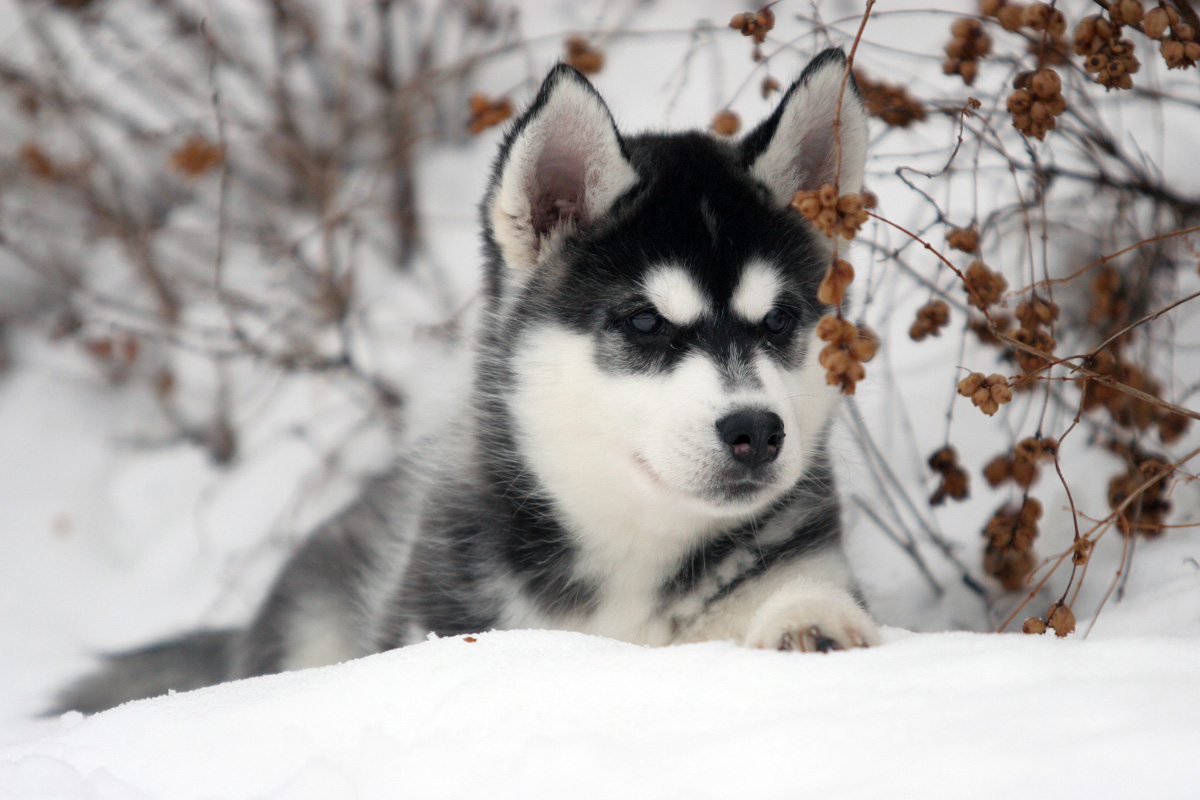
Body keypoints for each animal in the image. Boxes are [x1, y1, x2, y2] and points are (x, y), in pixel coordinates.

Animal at [56, 50, 883, 714]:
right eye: (646, 322)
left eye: (780, 320)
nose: (757, 431)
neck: (633, 555)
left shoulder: (805, 553)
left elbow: (810, 593)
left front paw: (808, 626)